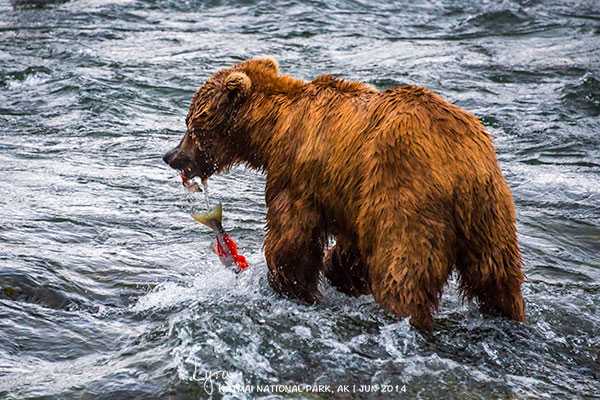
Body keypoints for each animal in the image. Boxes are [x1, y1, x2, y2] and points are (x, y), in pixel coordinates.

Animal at [162, 56, 524, 332]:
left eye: (191, 124)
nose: (171, 156)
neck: (271, 129)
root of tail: (459, 161)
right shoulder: (351, 195)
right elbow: (351, 247)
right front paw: (338, 274)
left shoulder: (299, 174)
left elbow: (291, 237)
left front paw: (292, 286)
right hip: (490, 211)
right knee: (498, 275)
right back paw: (509, 314)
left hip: (409, 197)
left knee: (403, 271)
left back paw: (407, 317)